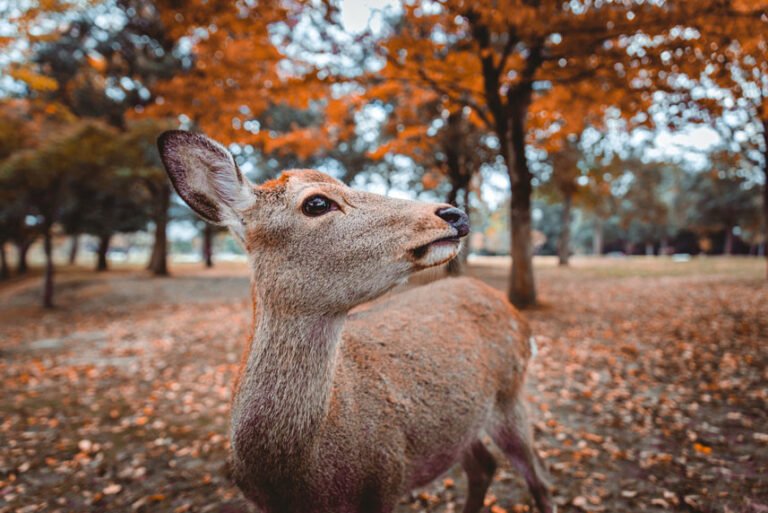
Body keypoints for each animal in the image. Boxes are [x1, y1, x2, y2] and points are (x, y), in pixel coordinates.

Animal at [158, 129, 552, 512]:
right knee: (484, 466)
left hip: (511, 396)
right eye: (317, 203)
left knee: (538, 480)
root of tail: (516, 314)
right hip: (463, 426)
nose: (454, 214)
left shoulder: (386, 481)